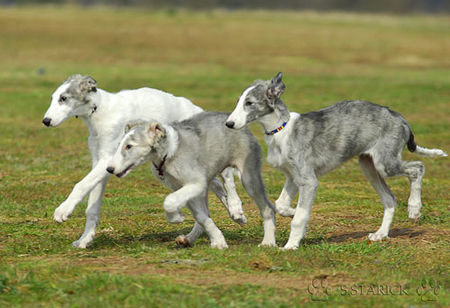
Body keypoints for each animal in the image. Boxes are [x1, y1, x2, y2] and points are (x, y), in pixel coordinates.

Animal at [42, 74, 246, 248]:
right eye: (52, 98)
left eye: (63, 98)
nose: (46, 121)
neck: (100, 111)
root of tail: (196, 108)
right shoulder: (102, 162)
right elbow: (92, 206)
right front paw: (85, 239)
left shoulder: (107, 159)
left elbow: (80, 185)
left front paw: (63, 210)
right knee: (211, 188)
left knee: (227, 178)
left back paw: (236, 209)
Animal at [107, 112, 276, 249]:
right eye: (120, 146)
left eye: (129, 146)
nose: (109, 169)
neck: (168, 154)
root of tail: (232, 119)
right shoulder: (183, 187)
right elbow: (201, 216)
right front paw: (218, 241)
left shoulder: (196, 182)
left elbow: (169, 201)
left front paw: (177, 217)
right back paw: (190, 238)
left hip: (247, 175)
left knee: (260, 203)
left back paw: (262, 237)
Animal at [227, 73, 448, 250]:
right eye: (238, 101)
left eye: (249, 103)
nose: (229, 124)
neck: (281, 129)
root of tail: (400, 118)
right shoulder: (293, 176)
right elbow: (281, 205)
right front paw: (292, 212)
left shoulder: (308, 180)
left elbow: (298, 218)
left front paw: (291, 245)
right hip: (368, 166)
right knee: (390, 199)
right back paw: (381, 234)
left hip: (385, 164)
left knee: (418, 168)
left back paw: (414, 209)